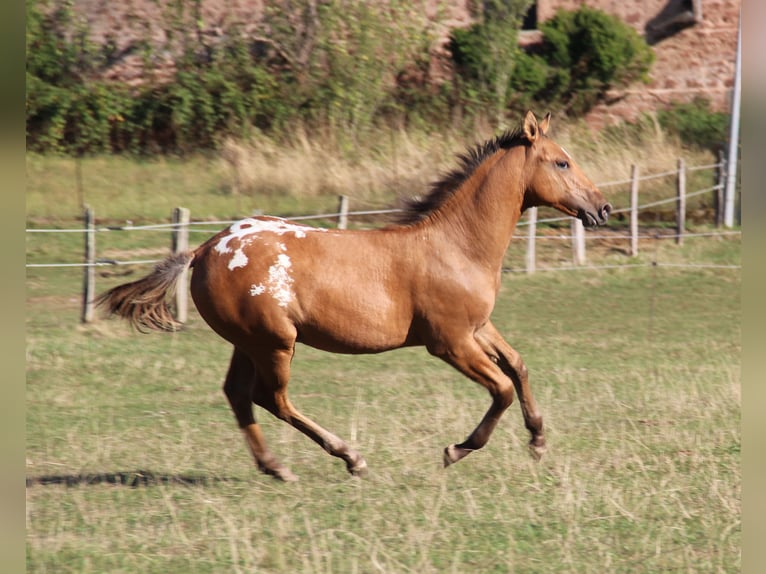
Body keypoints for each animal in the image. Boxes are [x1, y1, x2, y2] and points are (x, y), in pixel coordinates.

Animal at [97, 111, 611, 481]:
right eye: (561, 162)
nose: (603, 208)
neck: (455, 245)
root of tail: (205, 249)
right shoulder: (449, 342)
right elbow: (501, 388)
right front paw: (456, 450)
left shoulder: (477, 327)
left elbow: (518, 367)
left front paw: (538, 440)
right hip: (274, 342)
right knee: (271, 398)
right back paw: (349, 457)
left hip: (248, 343)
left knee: (239, 396)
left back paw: (276, 468)